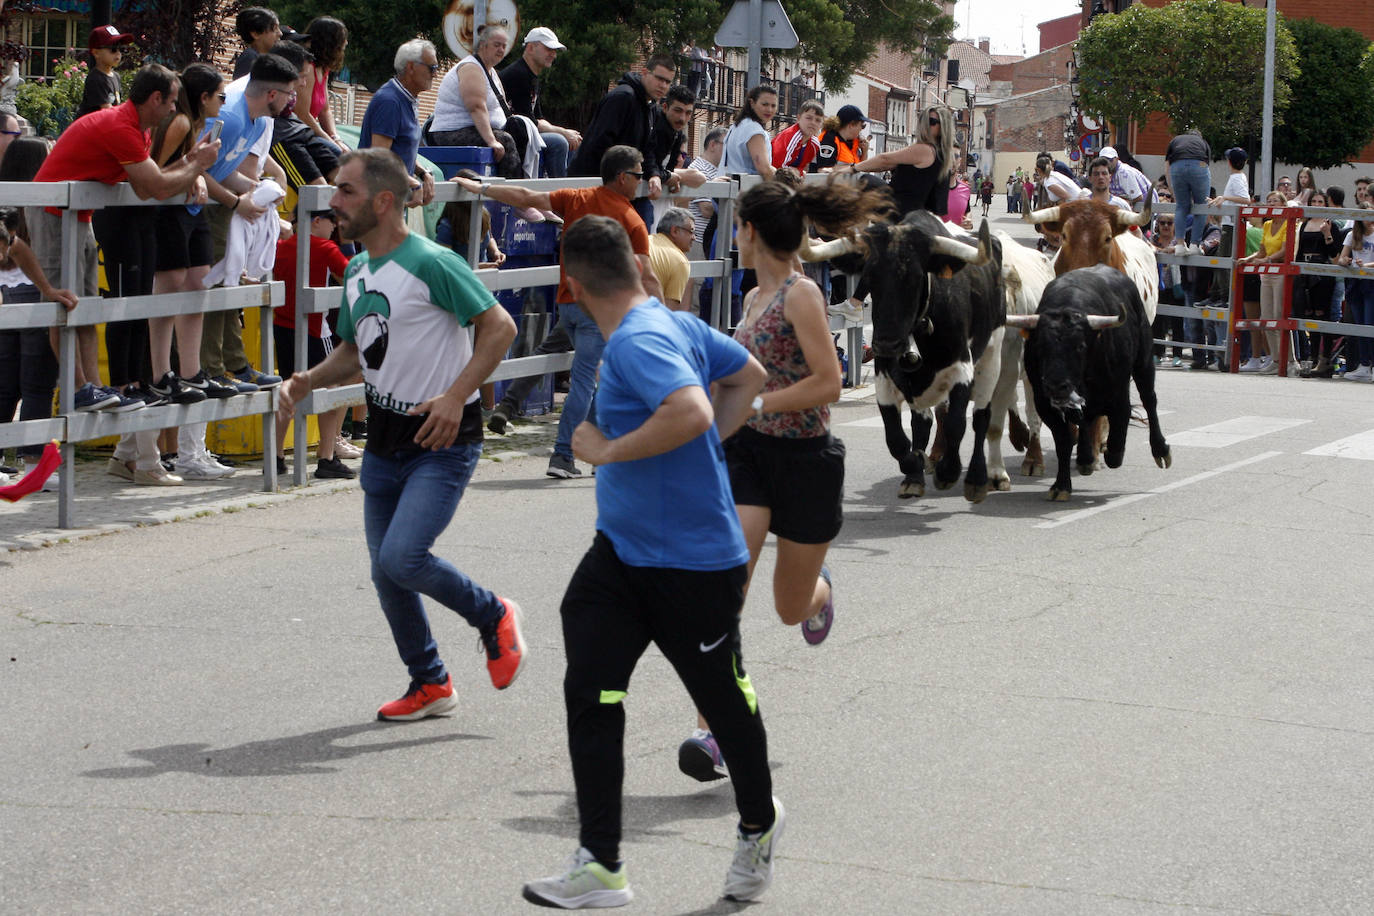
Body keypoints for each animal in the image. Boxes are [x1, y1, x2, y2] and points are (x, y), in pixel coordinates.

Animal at [802, 212, 1005, 505]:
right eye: (869, 277)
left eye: (916, 278)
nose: (886, 343)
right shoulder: (885, 378)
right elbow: (896, 439)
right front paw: (915, 464)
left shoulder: (961, 369)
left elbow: (956, 423)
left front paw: (947, 472)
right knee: (923, 422)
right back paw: (915, 477)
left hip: (993, 354)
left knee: (981, 417)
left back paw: (977, 479)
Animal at [1005, 260, 1176, 502]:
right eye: (1039, 346)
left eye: (1080, 346)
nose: (1056, 386)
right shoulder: (1044, 402)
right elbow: (1064, 441)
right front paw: (1061, 485)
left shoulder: (1118, 395)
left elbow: (1119, 426)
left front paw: (1113, 454)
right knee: (1085, 418)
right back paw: (1085, 458)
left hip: (1144, 360)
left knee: (1149, 400)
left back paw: (1160, 450)